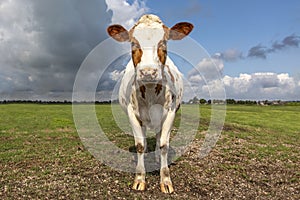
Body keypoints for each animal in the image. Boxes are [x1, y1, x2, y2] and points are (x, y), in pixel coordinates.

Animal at [106, 14, 193, 193]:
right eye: (133, 43)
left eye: (164, 42)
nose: (148, 72)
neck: (151, 91)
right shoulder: (133, 113)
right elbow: (140, 144)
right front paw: (140, 178)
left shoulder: (170, 113)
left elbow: (164, 145)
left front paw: (165, 180)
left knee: (159, 139)